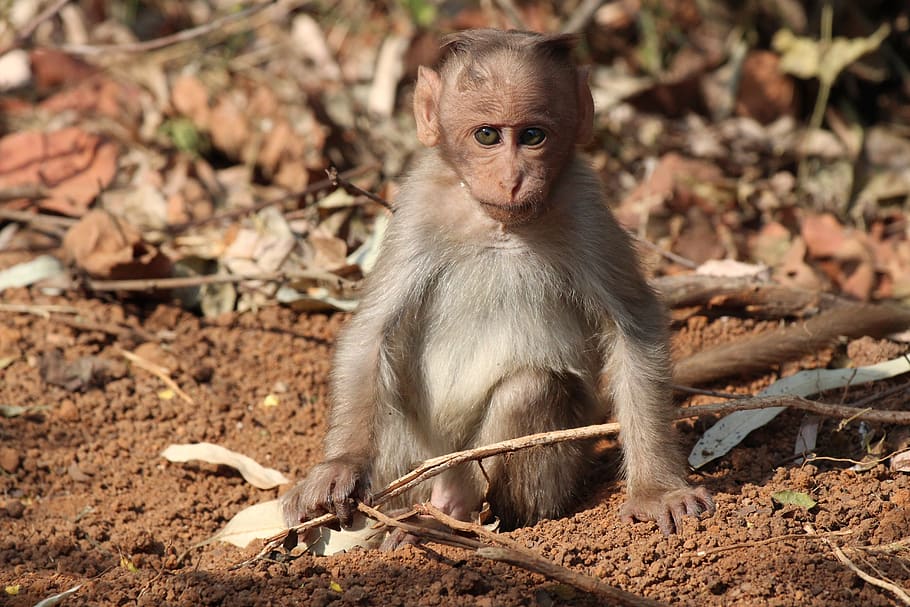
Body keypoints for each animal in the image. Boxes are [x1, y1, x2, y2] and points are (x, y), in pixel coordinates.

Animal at [282, 28, 716, 540]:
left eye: (532, 136)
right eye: (487, 135)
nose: (512, 179)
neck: (499, 225)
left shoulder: (585, 207)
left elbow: (636, 327)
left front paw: (656, 489)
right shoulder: (419, 205)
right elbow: (371, 331)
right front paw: (340, 466)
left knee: (533, 389)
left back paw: (456, 510)